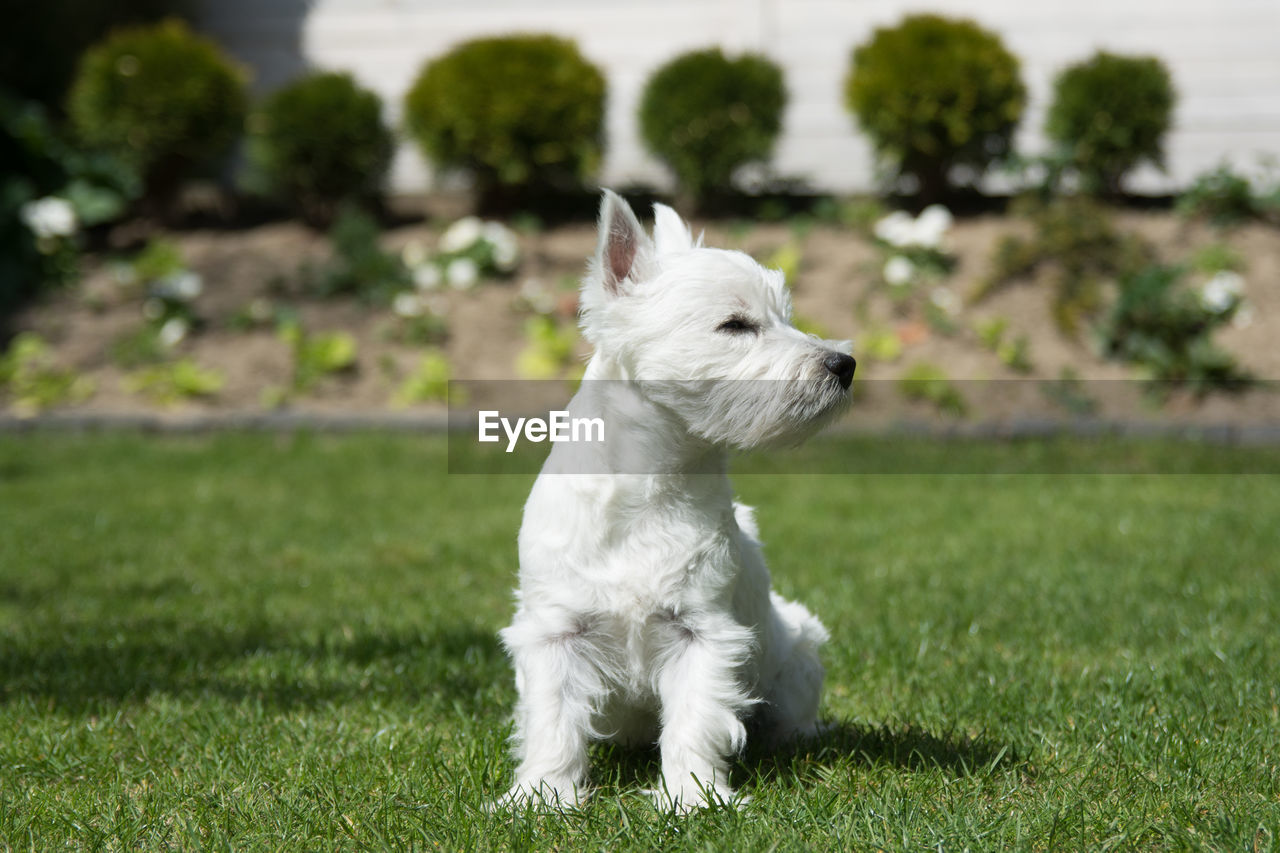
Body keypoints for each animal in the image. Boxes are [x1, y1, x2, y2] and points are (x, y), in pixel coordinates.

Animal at [494, 189, 855, 809]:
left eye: (786, 316)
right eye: (735, 324)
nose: (844, 364)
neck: (649, 486)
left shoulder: (701, 632)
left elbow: (694, 719)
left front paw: (691, 798)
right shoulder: (556, 631)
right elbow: (552, 721)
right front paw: (542, 796)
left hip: (798, 648)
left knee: (791, 712)